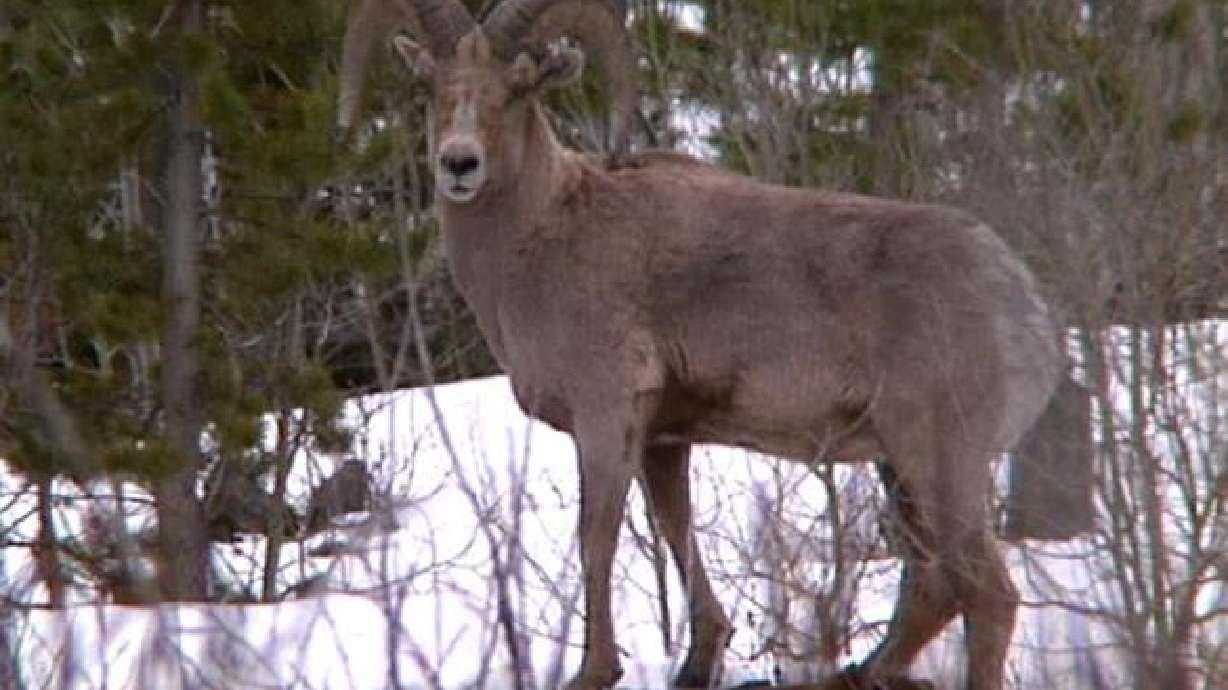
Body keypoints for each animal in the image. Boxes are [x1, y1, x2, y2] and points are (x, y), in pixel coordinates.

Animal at [338, 2, 1063, 688]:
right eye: (429, 86)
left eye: (519, 87)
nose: (459, 164)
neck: (540, 240)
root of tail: (1024, 304)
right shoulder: (663, 441)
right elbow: (674, 531)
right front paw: (697, 663)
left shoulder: (606, 419)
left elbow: (596, 539)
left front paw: (594, 671)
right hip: (901, 470)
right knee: (934, 587)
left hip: (939, 462)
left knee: (987, 595)